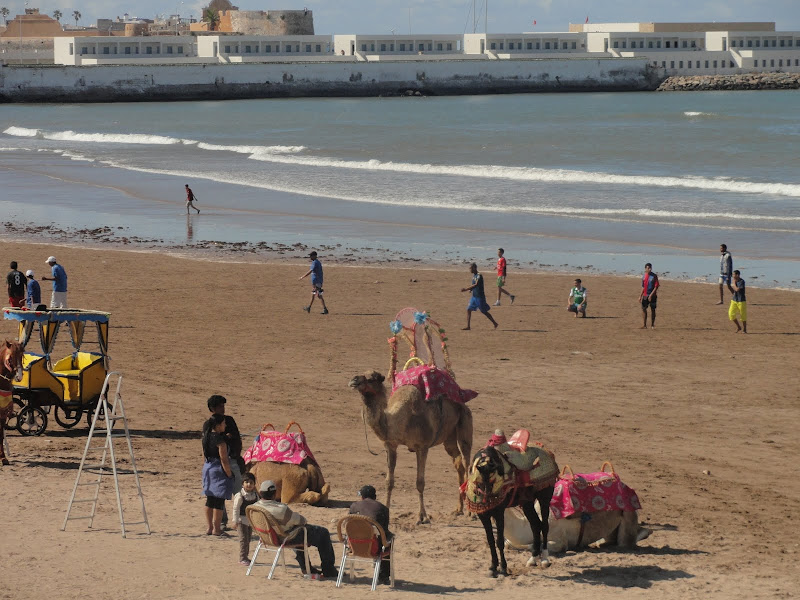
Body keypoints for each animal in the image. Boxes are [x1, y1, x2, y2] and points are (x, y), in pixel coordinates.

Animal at [348, 368, 472, 524]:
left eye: (371, 379)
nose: (353, 380)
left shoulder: (422, 447)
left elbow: (420, 482)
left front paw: (422, 516)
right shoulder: (390, 445)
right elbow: (389, 481)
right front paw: (387, 509)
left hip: (465, 422)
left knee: (467, 462)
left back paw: (471, 513)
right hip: (449, 437)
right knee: (458, 463)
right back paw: (458, 509)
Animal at [466, 446, 552, 576]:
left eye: (494, 480)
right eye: (479, 482)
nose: (488, 501)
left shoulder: (499, 513)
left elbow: (500, 541)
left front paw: (503, 567)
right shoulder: (483, 515)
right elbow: (490, 540)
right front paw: (493, 567)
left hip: (544, 498)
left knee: (544, 526)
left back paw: (545, 559)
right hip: (527, 504)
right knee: (535, 525)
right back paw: (532, 559)